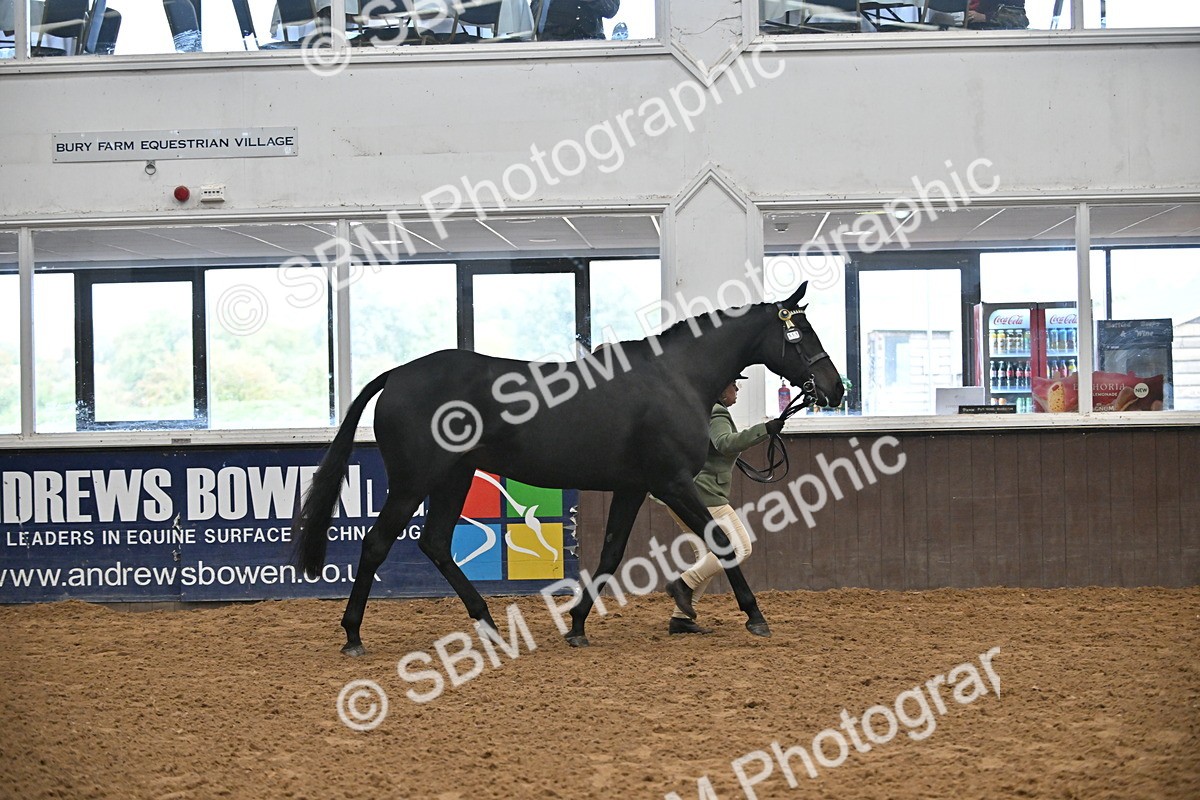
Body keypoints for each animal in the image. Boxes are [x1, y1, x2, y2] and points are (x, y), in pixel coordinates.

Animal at [293, 281, 844, 654]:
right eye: (800, 334)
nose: (835, 388)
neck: (674, 377)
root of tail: (396, 375)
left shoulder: (633, 487)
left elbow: (611, 553)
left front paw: (577, 625)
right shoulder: (671, 482)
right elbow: (722, 541)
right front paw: (754, 616)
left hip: (454, 478)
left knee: (435, 543)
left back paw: (489, 624)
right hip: (414, 482)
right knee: (377, 543)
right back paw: (353, 634)